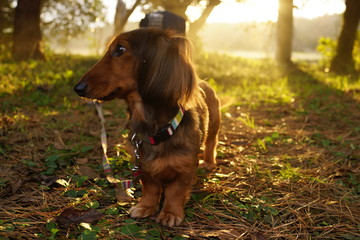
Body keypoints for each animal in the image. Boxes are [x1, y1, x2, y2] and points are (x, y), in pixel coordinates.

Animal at [74, 28, 221, 227]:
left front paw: (170, 213)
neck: (156, 130)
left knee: (211, 143)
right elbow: (151, 188)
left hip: (214, 125)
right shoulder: (142, 165)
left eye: (120, 50)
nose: (77, 88)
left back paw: (209, 162)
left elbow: (175, 192)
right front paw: (145, 207)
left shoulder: (186, 168)